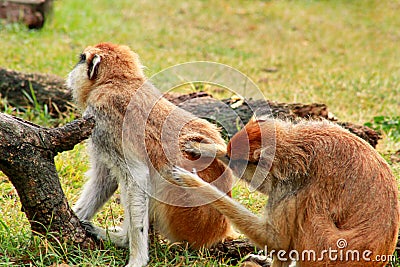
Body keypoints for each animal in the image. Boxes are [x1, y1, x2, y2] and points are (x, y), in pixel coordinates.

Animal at [66, 42, 234, 267]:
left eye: (82, 58)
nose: (71, 72)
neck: (118, 80)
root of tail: (219, 230)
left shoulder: (103, 120)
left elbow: (137, 177)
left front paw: (136, 257)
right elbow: (106, 179)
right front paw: (75, 217)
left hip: (185, 216)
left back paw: (122, 239)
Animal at [173, 116, 400, 266]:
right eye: (229, 156)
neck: (294, 148)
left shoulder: (294, 188)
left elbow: (276, 241)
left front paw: (193, 182)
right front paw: (204, 148)